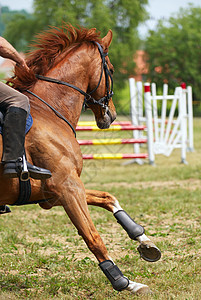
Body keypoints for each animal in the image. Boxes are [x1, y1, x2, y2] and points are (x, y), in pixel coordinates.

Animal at [0, 24, 160, 294]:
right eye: (111, 70)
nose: (112, 115)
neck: (49, 110)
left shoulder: (54, 192)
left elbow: (108, 198)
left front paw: (144, 240)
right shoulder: (67, 187)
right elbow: (93, 237)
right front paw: (125, 282)